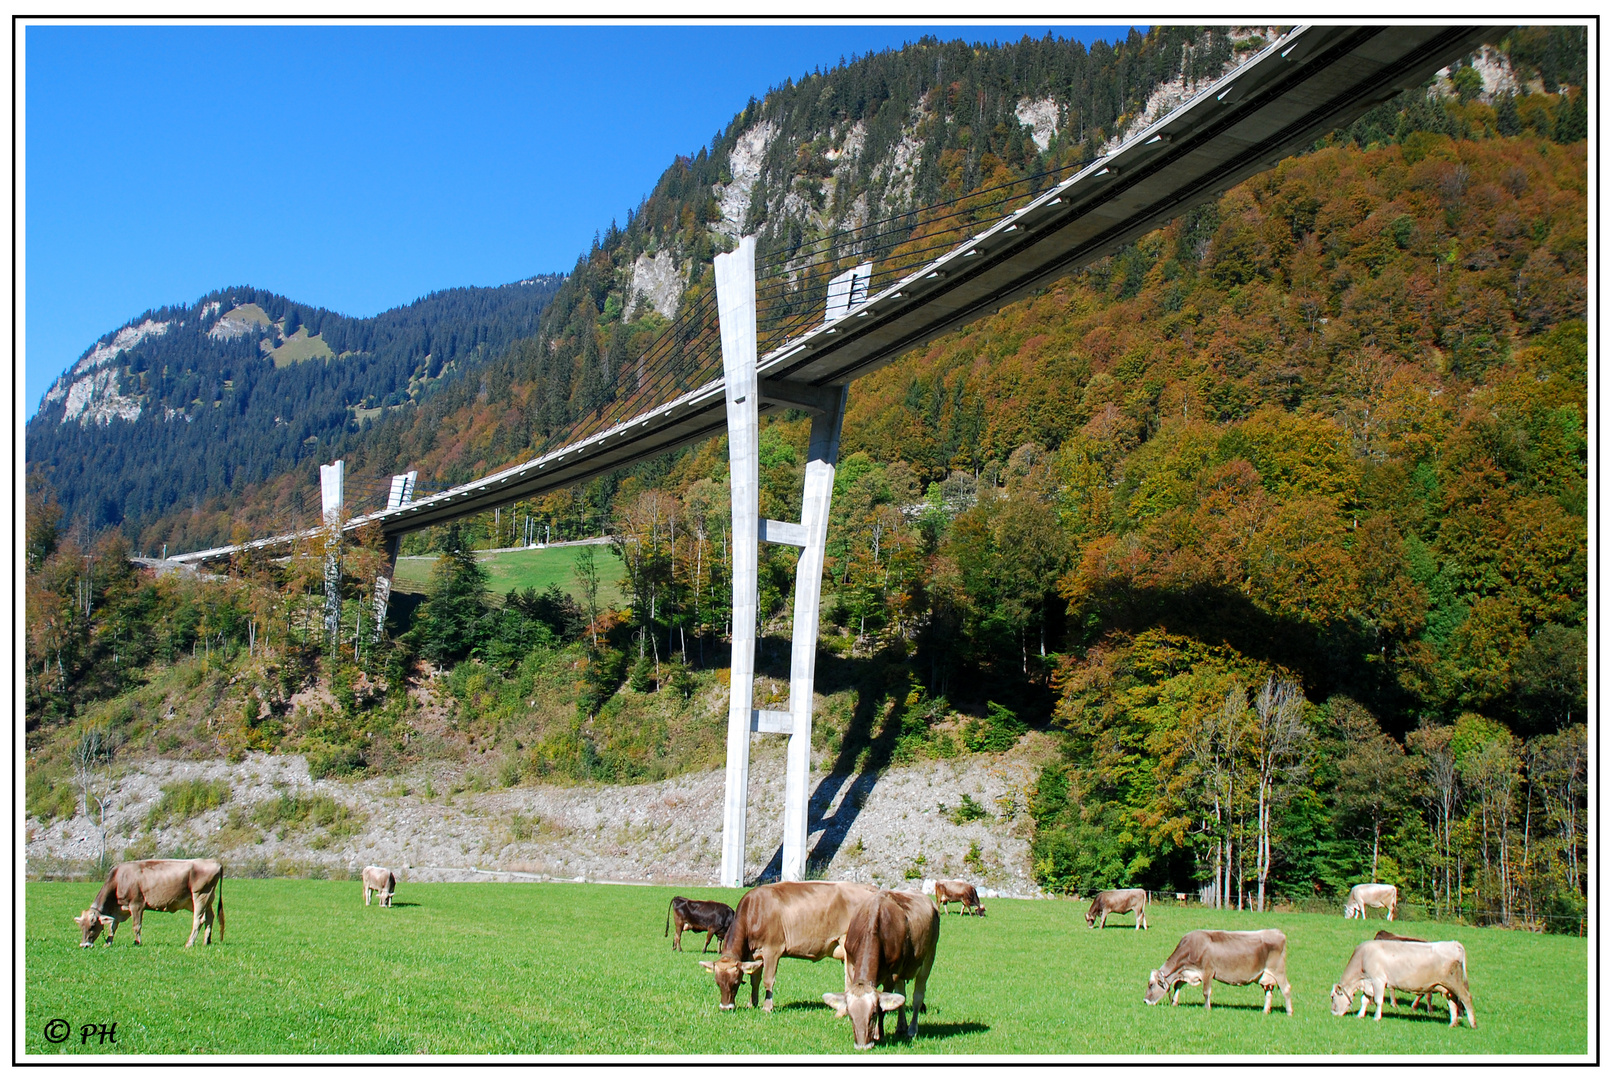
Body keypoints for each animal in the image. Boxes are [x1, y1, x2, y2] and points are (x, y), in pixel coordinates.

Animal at [73, 864, 225, 947]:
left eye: (93, 925)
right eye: (81, 927)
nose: (84, 945)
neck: (119, 880)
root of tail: (215, 863)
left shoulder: (137, 904)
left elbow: (136, 925)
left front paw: (137, 942)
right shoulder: (119, 909)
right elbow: (112, 926)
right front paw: (108, 942)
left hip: (200, 895)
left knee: (198, 920)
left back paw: (189, 943)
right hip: (205, 898)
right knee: (210, 917)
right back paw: (207, 940)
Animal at [700, 876, 877, 1018]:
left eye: (736, 982)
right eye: (717, 982)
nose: (725, 1008)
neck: (755, 912)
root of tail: (866, 889)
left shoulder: (772, 950)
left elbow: (768, 980)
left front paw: (767, 1007)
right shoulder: (753, 954)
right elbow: (754, 979)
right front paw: (752, 1003)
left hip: (849, 945)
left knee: (850, 980)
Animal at [825, 889, 941, 1050]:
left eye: (873, 1013)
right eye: (850, 1015)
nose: (862, 1046)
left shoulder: (892, 975)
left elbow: (885, 1008)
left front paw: (879, 1034)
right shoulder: (851, 966)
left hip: (928, 958)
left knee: (917, 996)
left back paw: (912, 1029)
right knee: (901, 995)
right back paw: (901, 1027)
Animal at [1142, 928, 1290, 1018]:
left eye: (1151, 985)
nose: (1145, 1001)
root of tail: (1278, 932)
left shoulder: (1207, 971)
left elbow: (1206, 992)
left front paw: (1207, 1008)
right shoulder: (1188, 972)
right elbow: (1177, 985)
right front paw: (1174, 1002)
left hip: (1278, 971)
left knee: (1286, 989)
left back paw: (1289, 1012)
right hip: (1265, 976)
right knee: (1268, 992)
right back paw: (1265, 1011)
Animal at [1322, 941, 1477, 1031]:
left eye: (1332, 997)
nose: (1333, 1013)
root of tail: (1454, 943)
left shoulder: (1378, 979)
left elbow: (1378, 1000)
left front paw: (1376, 1017)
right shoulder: (1368, 982)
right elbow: (1364, 1000)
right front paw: (1360, 1015)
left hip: (1454, 982)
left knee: (1466, 998)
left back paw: (1472, 1024)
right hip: (1446, 987)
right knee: (1452, 1003)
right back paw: (1452, 1023)